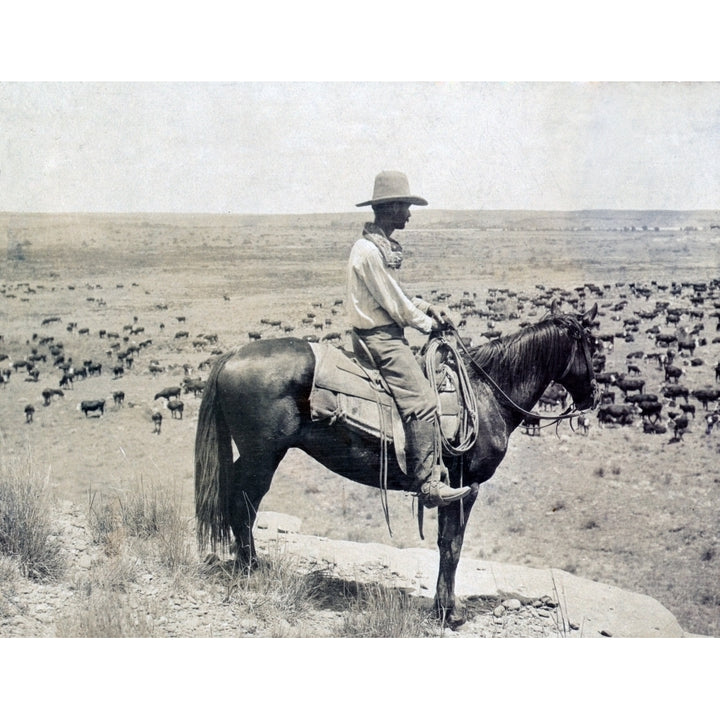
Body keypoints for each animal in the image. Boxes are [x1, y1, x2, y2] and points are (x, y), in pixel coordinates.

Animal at [194, 302, 600, 624]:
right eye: (591, 346)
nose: (593, 397)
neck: (487, 395)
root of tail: (231, 356)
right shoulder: (465, 487)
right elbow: (452, 546)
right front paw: (448, 613)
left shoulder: (454, 488)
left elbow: (445, 543)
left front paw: (442, 606)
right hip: (263, 456)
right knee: (243, 503)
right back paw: (251, 569)